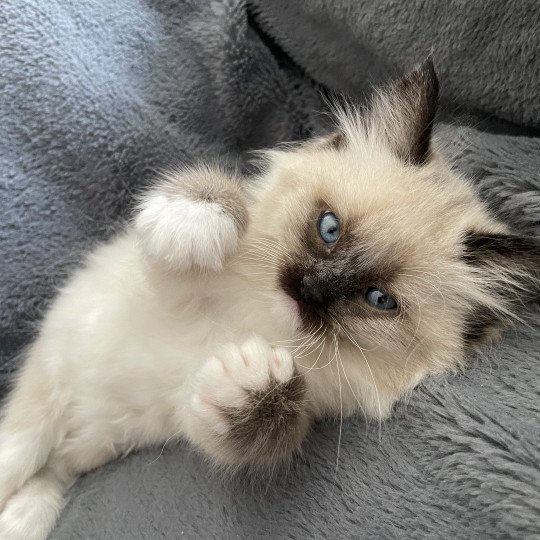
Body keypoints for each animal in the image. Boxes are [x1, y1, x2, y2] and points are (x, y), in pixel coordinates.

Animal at [1, 61, 540, 536]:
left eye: (378, 299)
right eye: (329, 229)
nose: (308, 291)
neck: (258, 319)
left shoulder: (214, 414)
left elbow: (264, 417)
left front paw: (252, 378)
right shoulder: (166, 287)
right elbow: (221, 200)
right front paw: (196, 221)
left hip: (83, 444)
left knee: (50, 473)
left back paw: (21, 520)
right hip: (42, 403)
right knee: (21, 452)